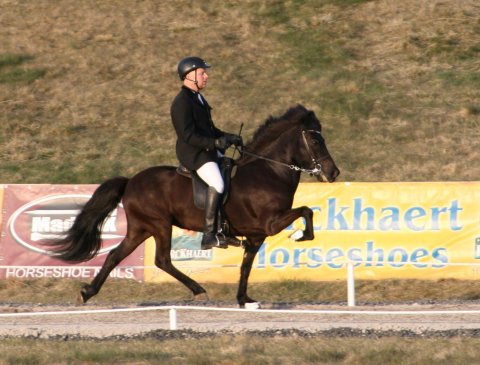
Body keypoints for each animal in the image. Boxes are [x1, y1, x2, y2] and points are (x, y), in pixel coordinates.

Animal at [50, 104, 340, 306]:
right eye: (316, 141)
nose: (333, 173)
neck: (269, 172)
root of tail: (131, 181)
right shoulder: (270, 223)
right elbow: (306, 211)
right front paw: (300, 235)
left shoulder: (257, 235)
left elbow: (246, 266)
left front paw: (244, 299)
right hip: (159, 225)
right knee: (163, 260)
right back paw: (199, 290)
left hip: (141, 228)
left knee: (114, 256)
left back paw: (87, 292)